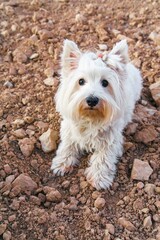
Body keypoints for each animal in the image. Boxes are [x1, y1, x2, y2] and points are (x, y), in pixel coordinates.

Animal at [50, 39, 142, 189]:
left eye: (105, 82)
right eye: (81, 81)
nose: (92, 100)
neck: (91, 118)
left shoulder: (111, 140)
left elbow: (103, 158)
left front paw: (99, 178)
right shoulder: (69, 130)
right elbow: (67, 145)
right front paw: (61, 163)